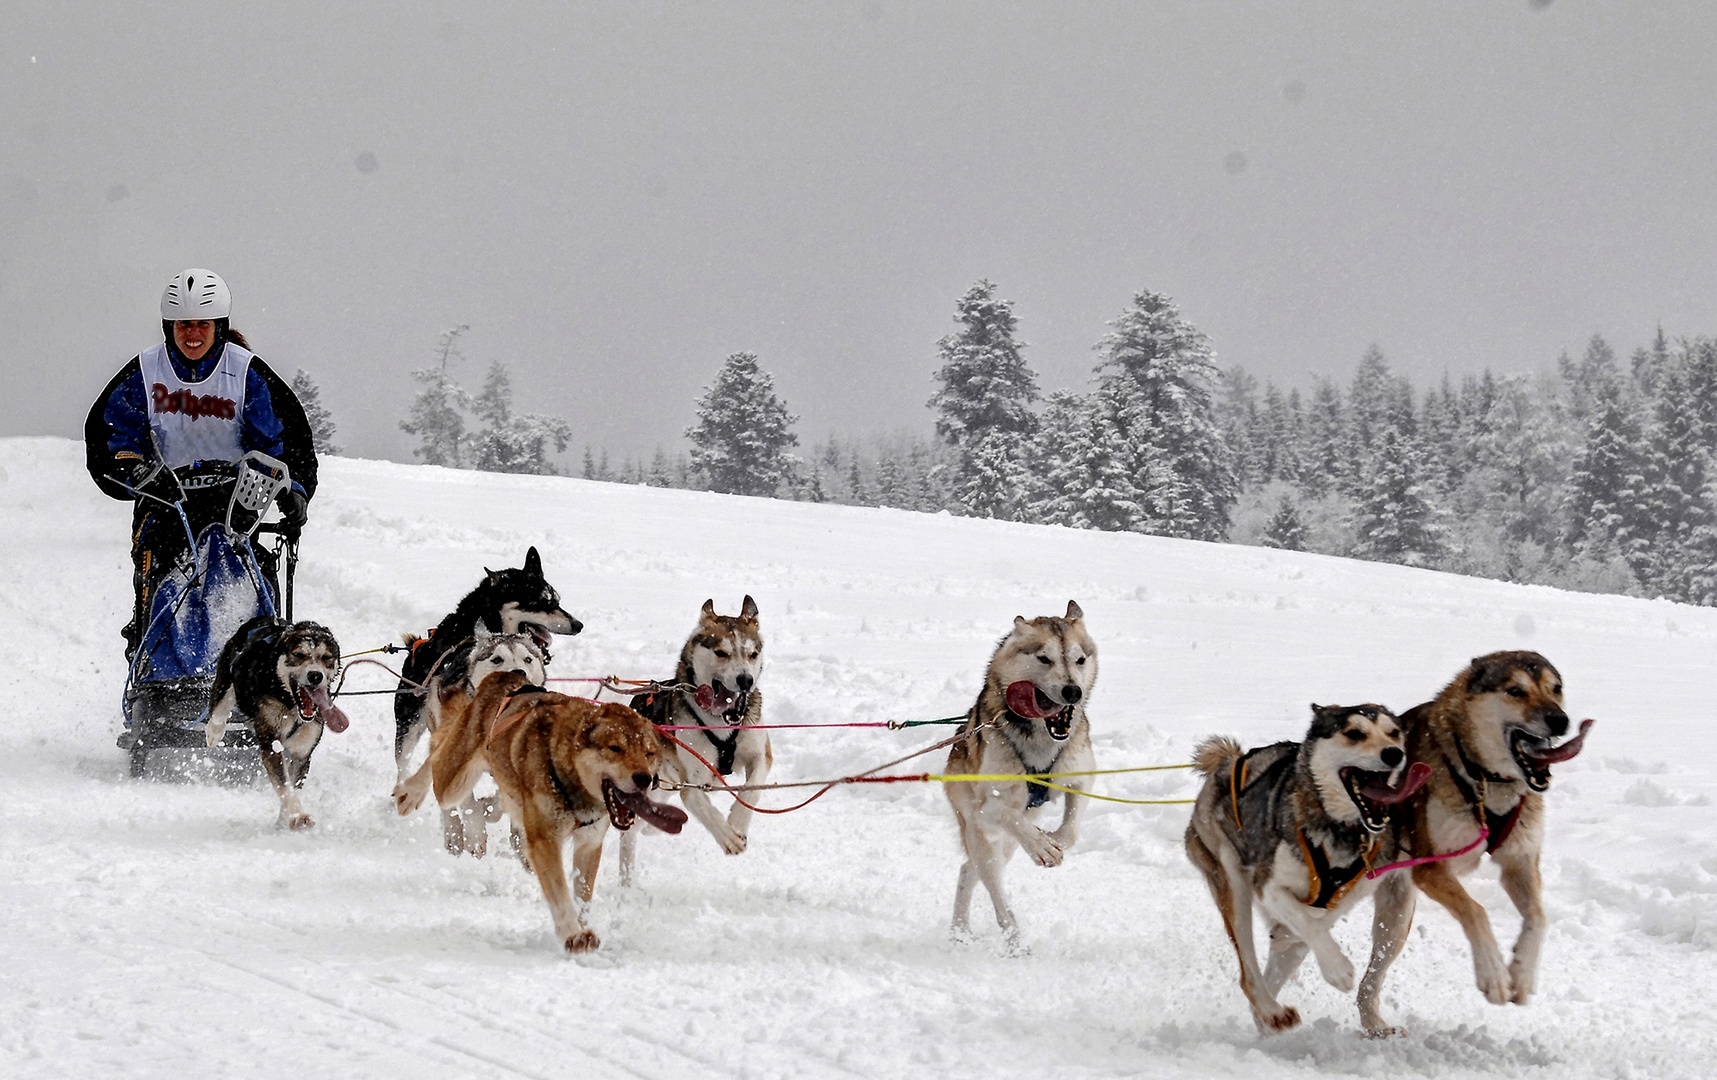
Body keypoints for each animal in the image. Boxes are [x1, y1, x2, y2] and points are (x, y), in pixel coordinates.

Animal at [202, 614, 346, 824]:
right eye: (298, 654)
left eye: (326, 657)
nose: (315, 675)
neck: (291, 705)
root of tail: (267, 619)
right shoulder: (271, 746)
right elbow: (285, 787)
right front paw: (297, 815)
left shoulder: (302, 752)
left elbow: (292, 786)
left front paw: (285, 818)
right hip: (227, 675)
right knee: (221, 705)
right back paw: (214, 732)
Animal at [427, 669, 683, 954]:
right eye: (615, 748)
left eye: (649, 753)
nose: (645, 778)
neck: (570, 779)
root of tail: (505, 675)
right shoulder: (546, 841)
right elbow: (559, 892)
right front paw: (572, 934)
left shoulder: (589, 843)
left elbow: (583, 894)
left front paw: (582, 927)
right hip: (450, 781)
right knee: (436, 758)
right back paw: (450, 817)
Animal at [947, 600, 1092, 947]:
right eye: (1044, 658)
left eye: (1080, 659)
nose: (1073, 691)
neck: (1040, 739)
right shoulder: (987, 806)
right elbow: (1010, 815)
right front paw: (1041, 845)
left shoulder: (1082, 777)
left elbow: (1070, 830)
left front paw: (1053, 840)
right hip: (980, 836)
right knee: (995, 890)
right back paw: (1011, 939)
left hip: (1002, 846)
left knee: (968, 871)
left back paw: (962, 931)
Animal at [1188, 703, 1428, 1030]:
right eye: (1355, 733)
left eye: (1393, 733)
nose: (1394, 753)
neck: (1342, 829)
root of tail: (1229, 762)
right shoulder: (1269, 886)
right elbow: (1309, 922)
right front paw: (1338, 969)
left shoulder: (1366, 885)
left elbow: (1315, 920)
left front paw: (1288, 934)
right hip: (1231, 879)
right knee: (1249, 974)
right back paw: (1272, 1010)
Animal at [1352, 649, 1593, 1037]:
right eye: (1516, 691)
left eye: (1555, 688)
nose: (1560, 720)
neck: (1483, 777)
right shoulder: (1432, 869)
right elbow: (1477, 912)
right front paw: (1494, 976)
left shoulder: (1519, 863)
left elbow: (1539, 918)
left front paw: (1521, 974)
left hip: (1396, 921)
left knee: (1369, 981)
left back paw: (1374, 1024)